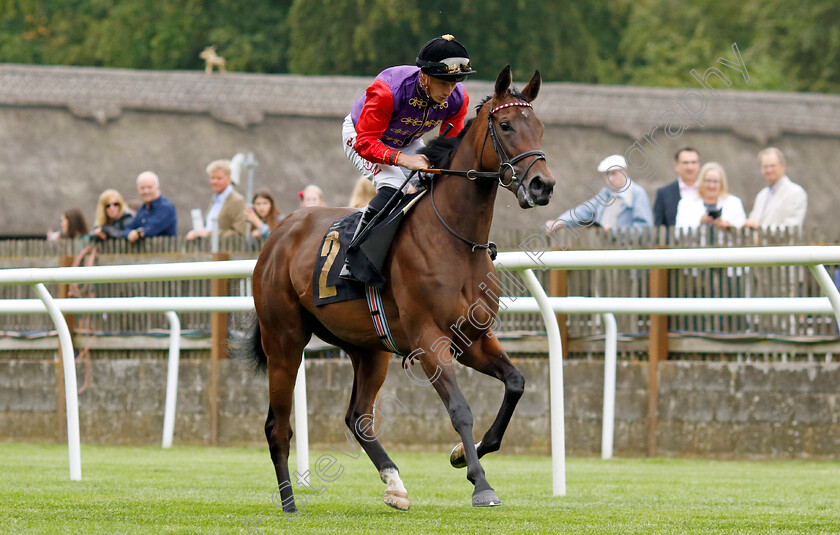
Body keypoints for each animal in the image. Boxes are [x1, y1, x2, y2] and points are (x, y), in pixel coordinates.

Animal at [236, 65, 552, 512]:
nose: (543, 185)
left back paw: (395, 484)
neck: (455, 239)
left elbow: (516, 383)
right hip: (284, 341)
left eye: (539, 127)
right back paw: (289, 503)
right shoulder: (429, 339)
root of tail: (279, 232)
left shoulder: (473, 338)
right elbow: (460, 409)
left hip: (369, 349)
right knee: (277, 426)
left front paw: (463, 453)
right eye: (505, 125)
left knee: (358, 417)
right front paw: (481, 483)